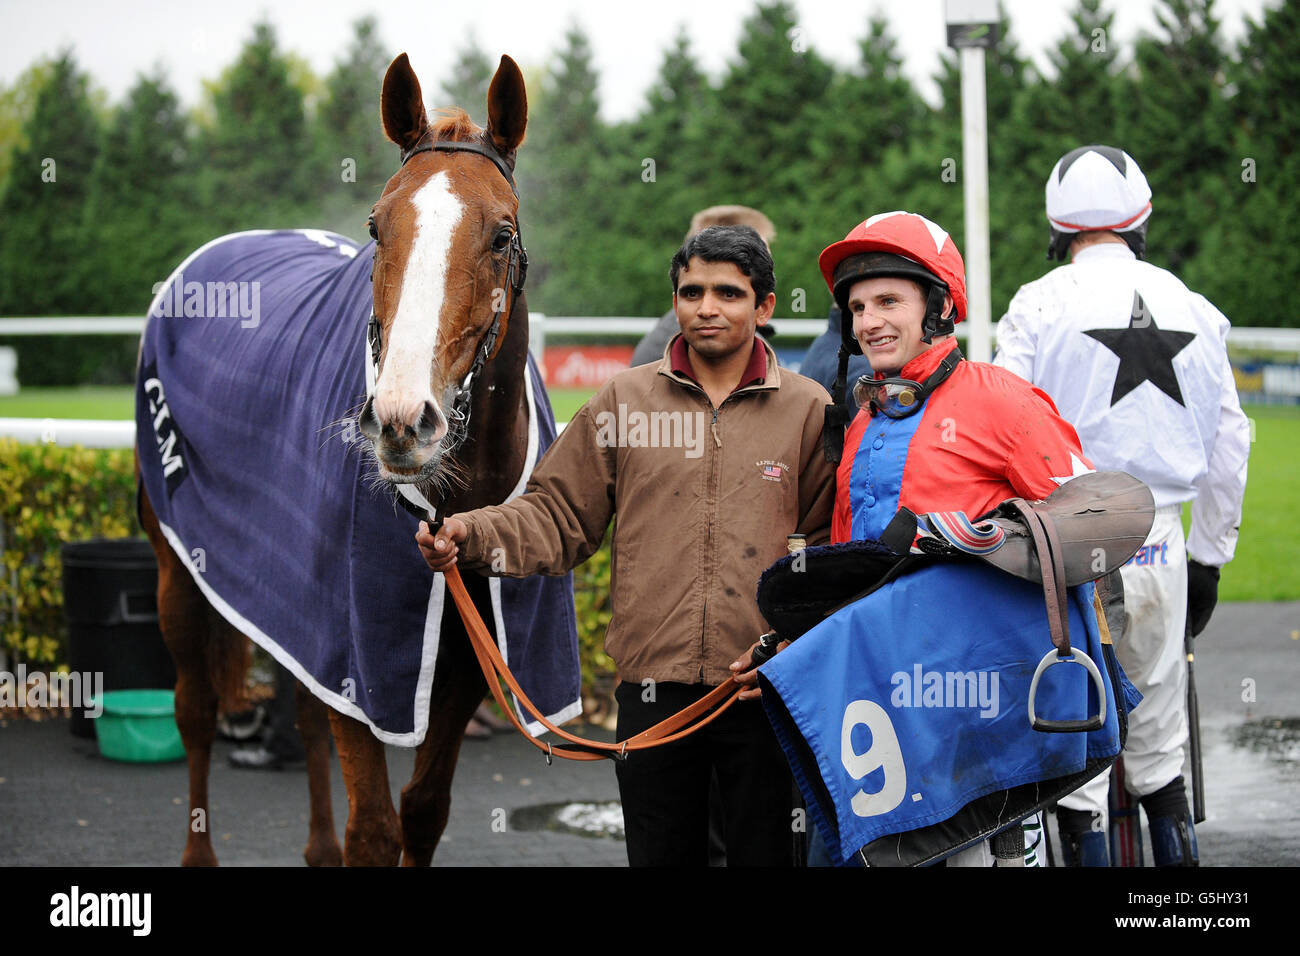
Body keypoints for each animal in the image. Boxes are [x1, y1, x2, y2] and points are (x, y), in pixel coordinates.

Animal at [139, 57, 546, 868]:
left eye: (500, 234)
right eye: (376, 226)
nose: (401, 422)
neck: (452, 502)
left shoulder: (462, 657)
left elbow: (423, 811)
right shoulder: (363, 646)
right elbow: (376, 830)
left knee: (301, 702)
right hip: (177, 563)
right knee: (195, 710)